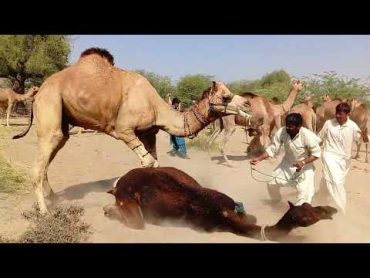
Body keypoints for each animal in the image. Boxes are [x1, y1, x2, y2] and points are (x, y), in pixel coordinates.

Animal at [12, 47, 260, 213]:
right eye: (226, 96)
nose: (248, 104)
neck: (156, 106)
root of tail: (39, 89)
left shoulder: (148, 133)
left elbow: (155, 163)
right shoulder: (124, 130)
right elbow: (148, 162)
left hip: (62, 122)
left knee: (50, 155)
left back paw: (53, 198)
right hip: (50, 104)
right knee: (39, 163)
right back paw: (44, 210)